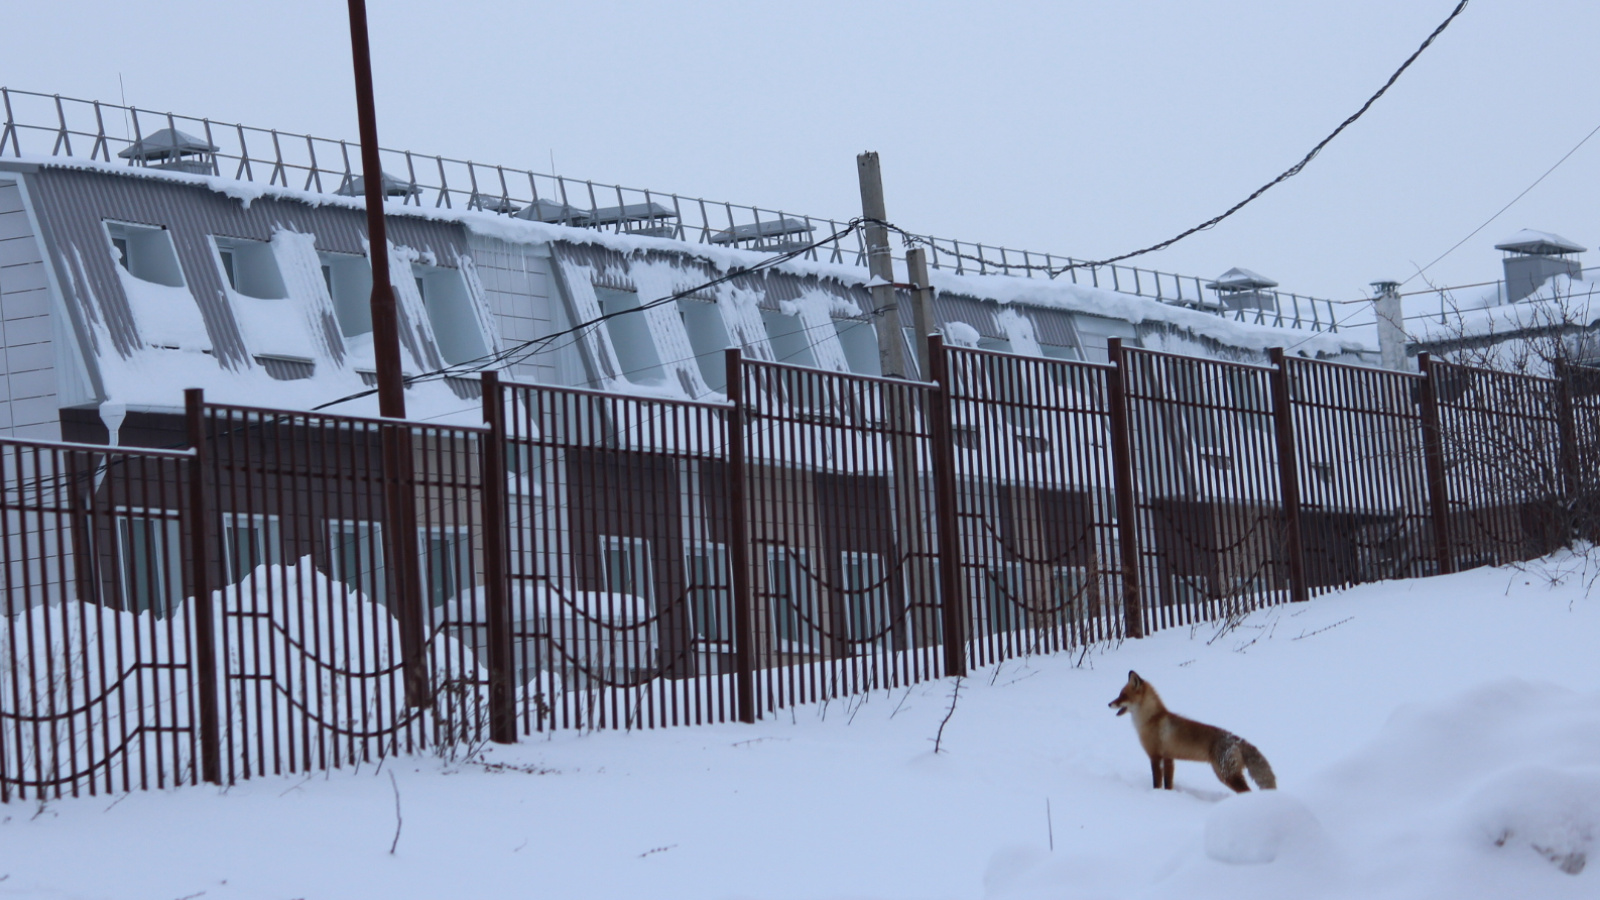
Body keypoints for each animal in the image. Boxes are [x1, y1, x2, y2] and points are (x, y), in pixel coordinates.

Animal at [1113, 666, 1273, 791]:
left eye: (1123, 695)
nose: (1109, 704)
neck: (1151, 719)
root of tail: (1237, 739)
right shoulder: (1169, 758)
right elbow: (1168, 784)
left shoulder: (1155, 756)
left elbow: (1157, 783)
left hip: (1226, 775)